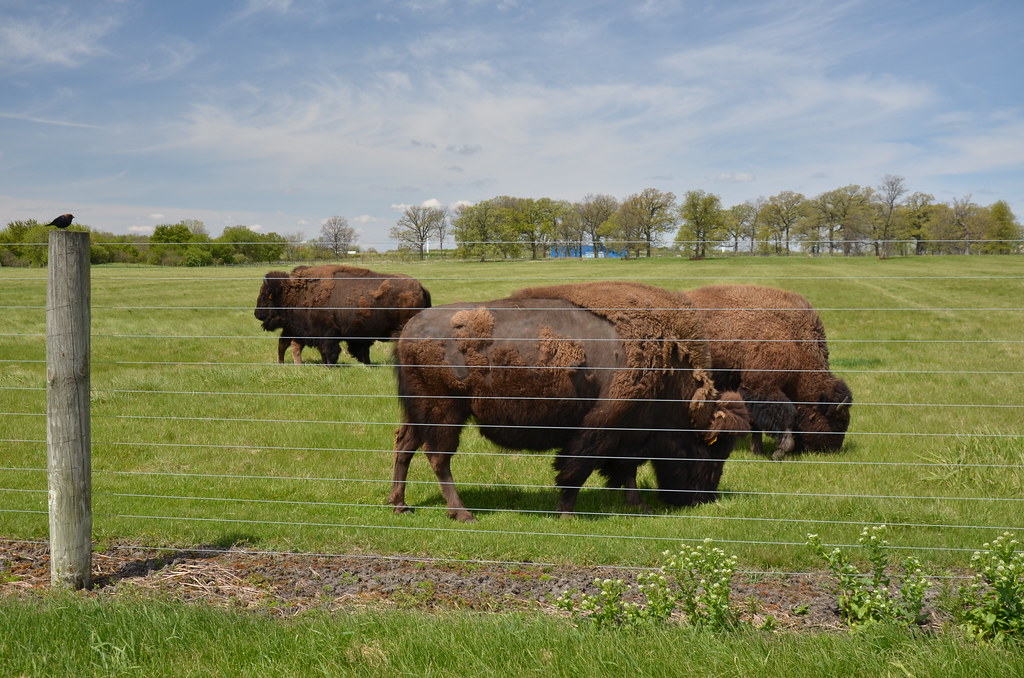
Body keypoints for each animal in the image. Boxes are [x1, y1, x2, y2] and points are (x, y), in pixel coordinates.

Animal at [255, 264, 431, 365]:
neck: (296, 293)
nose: (257, 314)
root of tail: (421, 287)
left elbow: (329, 350)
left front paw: (330, 365)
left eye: (266, 295)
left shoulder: (327, 333)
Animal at [389, 281, 750, 522]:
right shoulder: (600, 428)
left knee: (405, 445)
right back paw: (462, 513)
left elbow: (627, 469)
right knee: (438, 457)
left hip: (418, 410)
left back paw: (400, 504)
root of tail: (409, 328)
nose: (702, 499)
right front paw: (566, 513)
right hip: (444, 410)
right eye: (708, 452)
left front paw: (638, 505)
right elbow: (576, 470)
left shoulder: (629, 434)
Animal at [685, 285, 852, 459]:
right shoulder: (763, 387)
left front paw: (757, 450)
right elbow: (783, 416)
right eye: (838, 422)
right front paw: (779, 451)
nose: (834, 450)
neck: (795, 339)